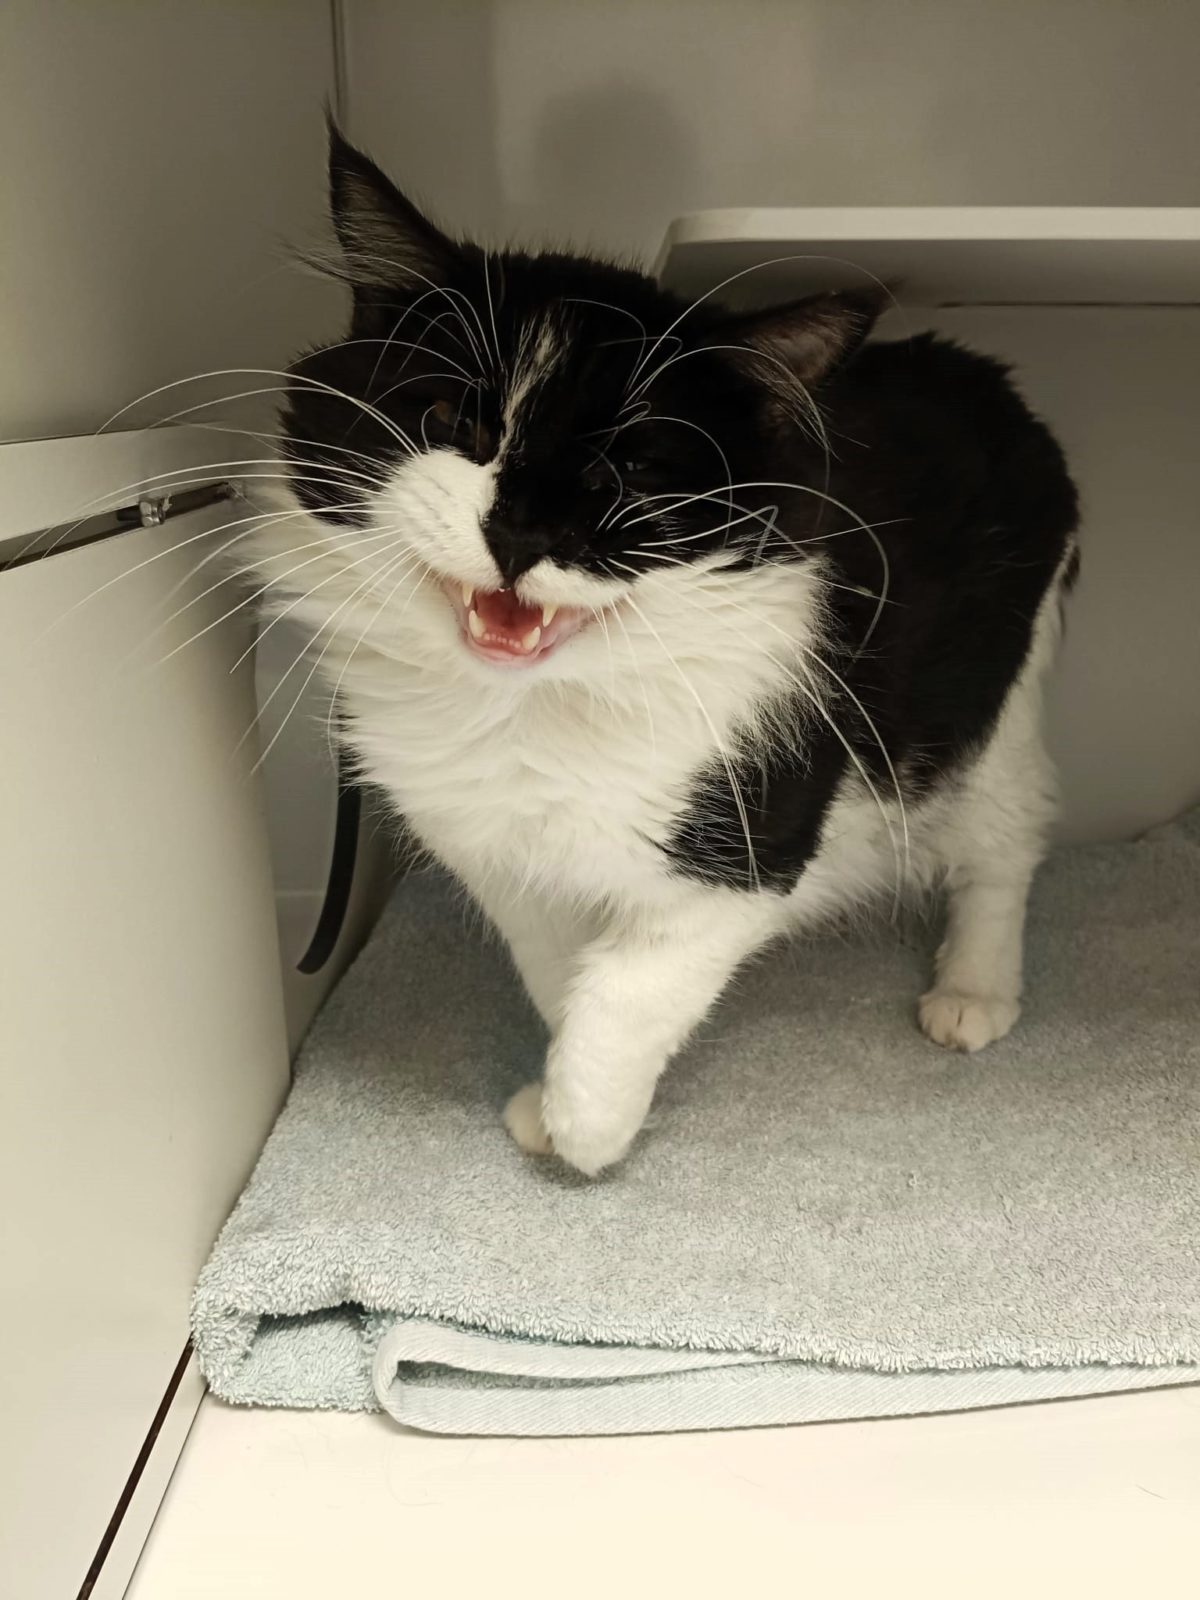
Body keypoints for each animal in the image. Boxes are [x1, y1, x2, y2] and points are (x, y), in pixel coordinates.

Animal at [252, 126, 1079, 1175]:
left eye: (631, 472)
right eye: (454, 422)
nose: (520, 531)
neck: (527, 707)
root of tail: (981, 374)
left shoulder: (740, 852)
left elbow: (624, 993)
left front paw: (587, 1131)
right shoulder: (500, 853)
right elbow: (557, 969)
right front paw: (553, 1100)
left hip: (985, 711)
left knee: (1006, 838)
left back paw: (974, 990)